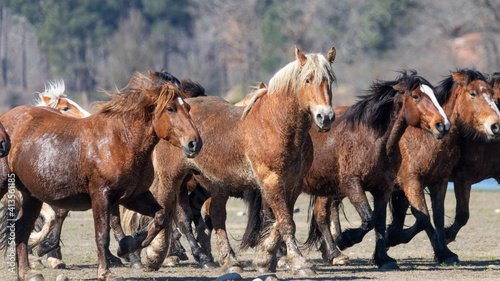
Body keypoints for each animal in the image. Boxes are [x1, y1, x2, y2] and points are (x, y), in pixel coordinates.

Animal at [0, 71, 201, 280]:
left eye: (187, 107)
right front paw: (106, 272)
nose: (195, 143)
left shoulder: (134, 196)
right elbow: (102, 235)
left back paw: (27, 272)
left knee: (22, 228)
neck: (121, 140)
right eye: (170, 109)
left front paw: (127, 247)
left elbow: (160, 217)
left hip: (31, 196)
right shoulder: (101, 196)